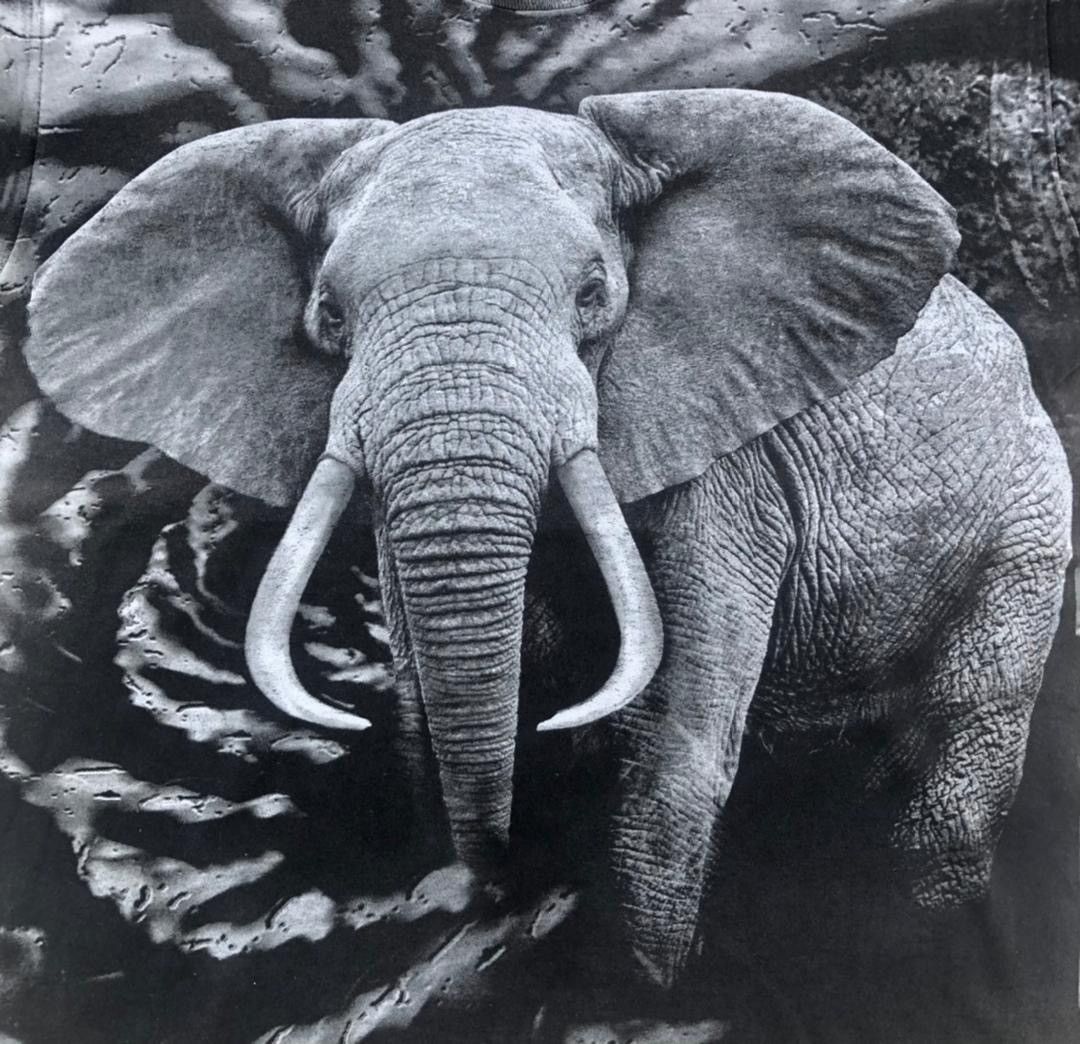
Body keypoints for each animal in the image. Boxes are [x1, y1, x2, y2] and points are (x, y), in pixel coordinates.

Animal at [21, 89, 1072, 990]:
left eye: (592, 295)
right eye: (329, 314)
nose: (482, 892)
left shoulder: (727, 472)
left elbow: (674, 759)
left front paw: (642, 993)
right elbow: (427, 719)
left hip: (1027, 533)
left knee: (957, 777)